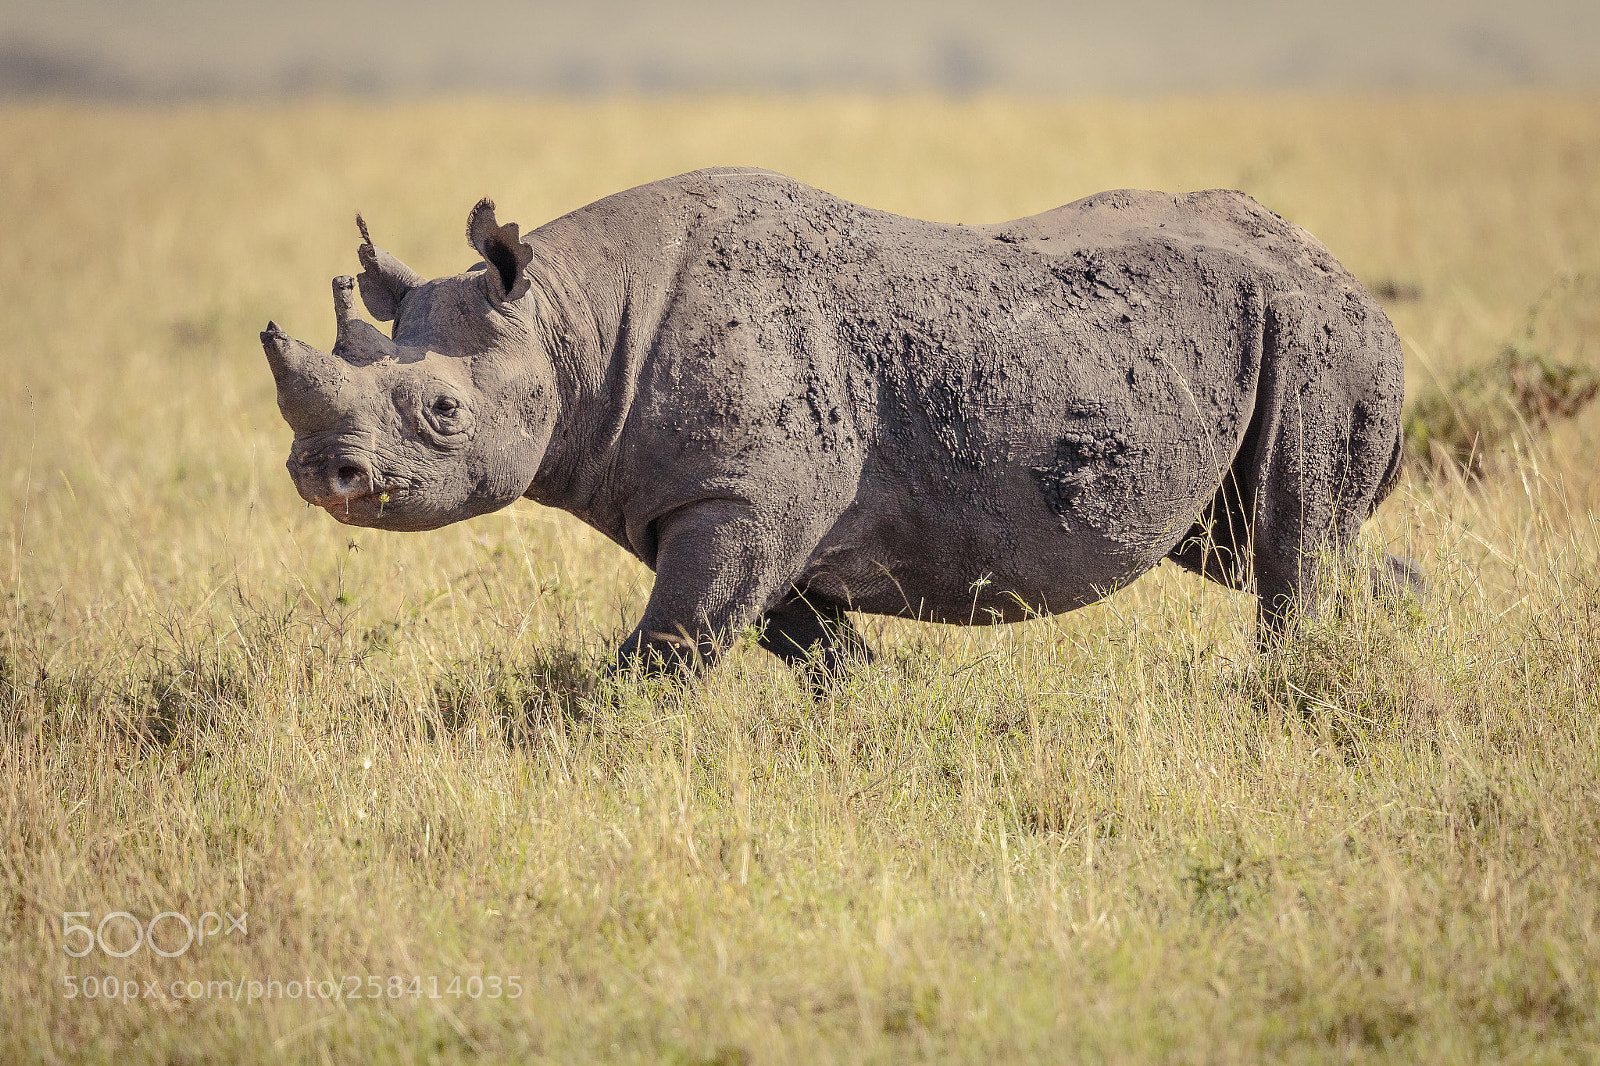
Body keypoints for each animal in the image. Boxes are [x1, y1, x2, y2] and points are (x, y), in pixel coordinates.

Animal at [261, 167, 1411, 677]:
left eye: (444, 412)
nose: (323, 477)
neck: (572, 321)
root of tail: (1346, 276)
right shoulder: (724, 506)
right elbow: (814, 653)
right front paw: (874, 722)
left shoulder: (742, 501)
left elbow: (667, 649)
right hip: (1265, 337)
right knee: (1265, 542)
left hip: (1316, 334)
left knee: (1289, 544)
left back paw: (1285, 684)